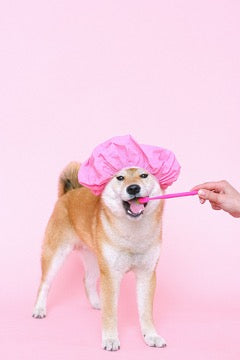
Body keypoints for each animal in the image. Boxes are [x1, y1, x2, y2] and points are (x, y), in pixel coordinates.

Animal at [32, 162, 166, 350]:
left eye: (144, 175)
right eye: (120, 177)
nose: (133, 188)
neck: (133, 234)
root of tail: (68, 193)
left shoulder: (146, 274)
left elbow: (145, 311)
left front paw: (151, 336)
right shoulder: (110, 275)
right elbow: (110, 313)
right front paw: (110, 339)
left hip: (95, 260)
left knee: (87, 281)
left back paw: (97, 302)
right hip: (56, 255)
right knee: (44, 284)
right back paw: (39, 309)